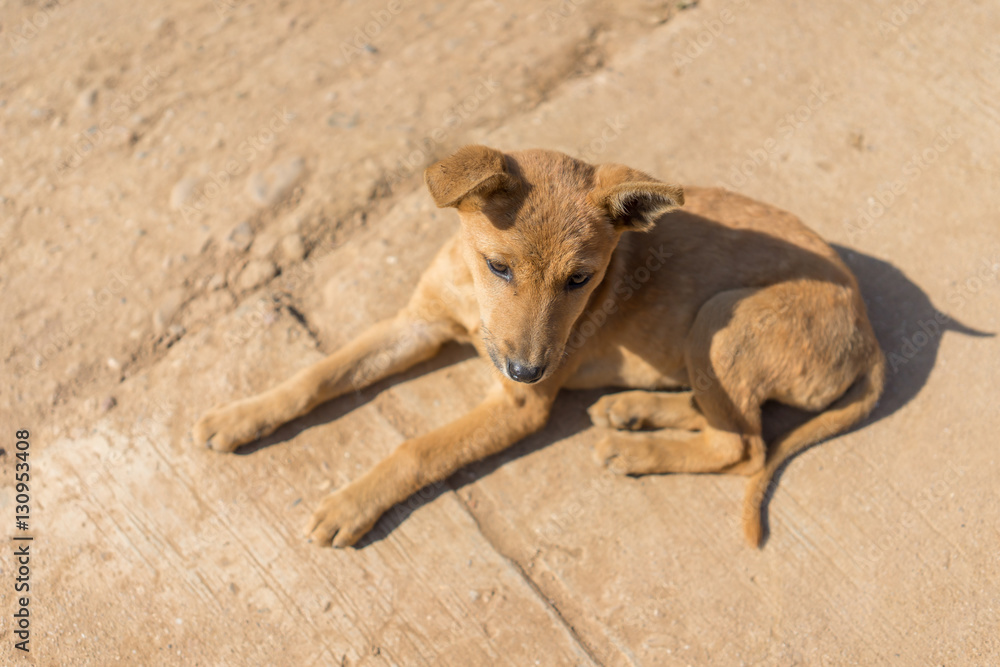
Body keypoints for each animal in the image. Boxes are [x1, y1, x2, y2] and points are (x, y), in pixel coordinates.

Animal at [193, 146, 884, 548]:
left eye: (580, 280)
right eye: (498, 266)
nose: (528, 369)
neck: (474, 304)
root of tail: (871, 335)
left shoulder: (518, 407)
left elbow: (419, 448)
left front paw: (352, 501)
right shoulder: (418, 323)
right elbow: (319, 374)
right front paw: (241, 415)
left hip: (723, 318)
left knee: (742, 445)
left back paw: (634, 449)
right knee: (726, 419)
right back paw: (633, 409)